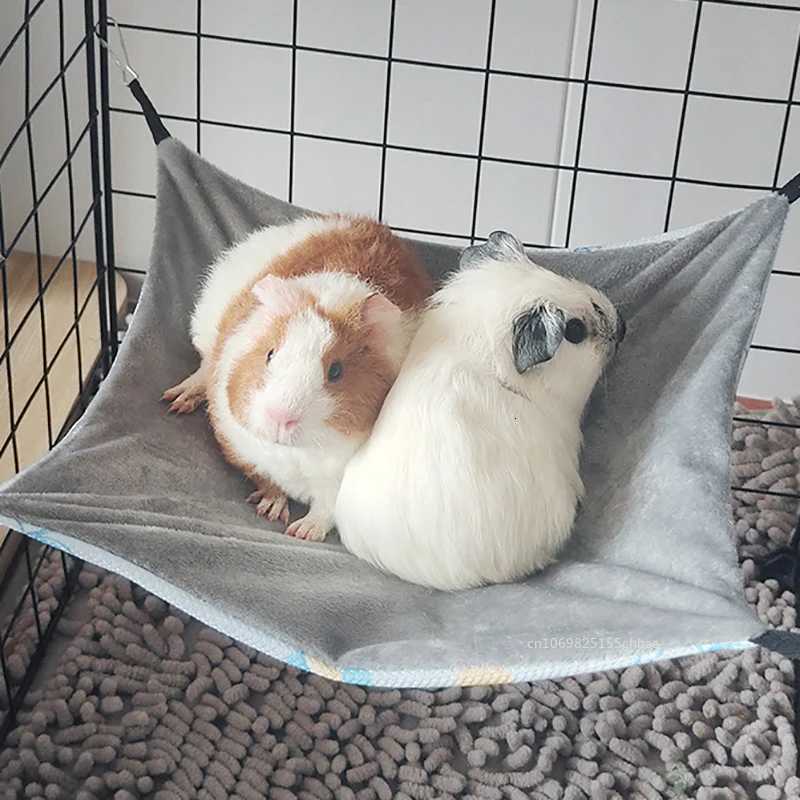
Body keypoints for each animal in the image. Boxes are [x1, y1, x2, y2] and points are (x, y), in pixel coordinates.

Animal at [163, 214, 432, 542]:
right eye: (270, 354)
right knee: (201, 369)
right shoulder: (243, 449)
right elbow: (265, 480)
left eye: (336, 370)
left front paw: (302, 532)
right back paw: (176, 400)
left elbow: (326, 510)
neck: (294, 455)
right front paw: (271, 510)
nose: (280, 417)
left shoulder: (338, 486)